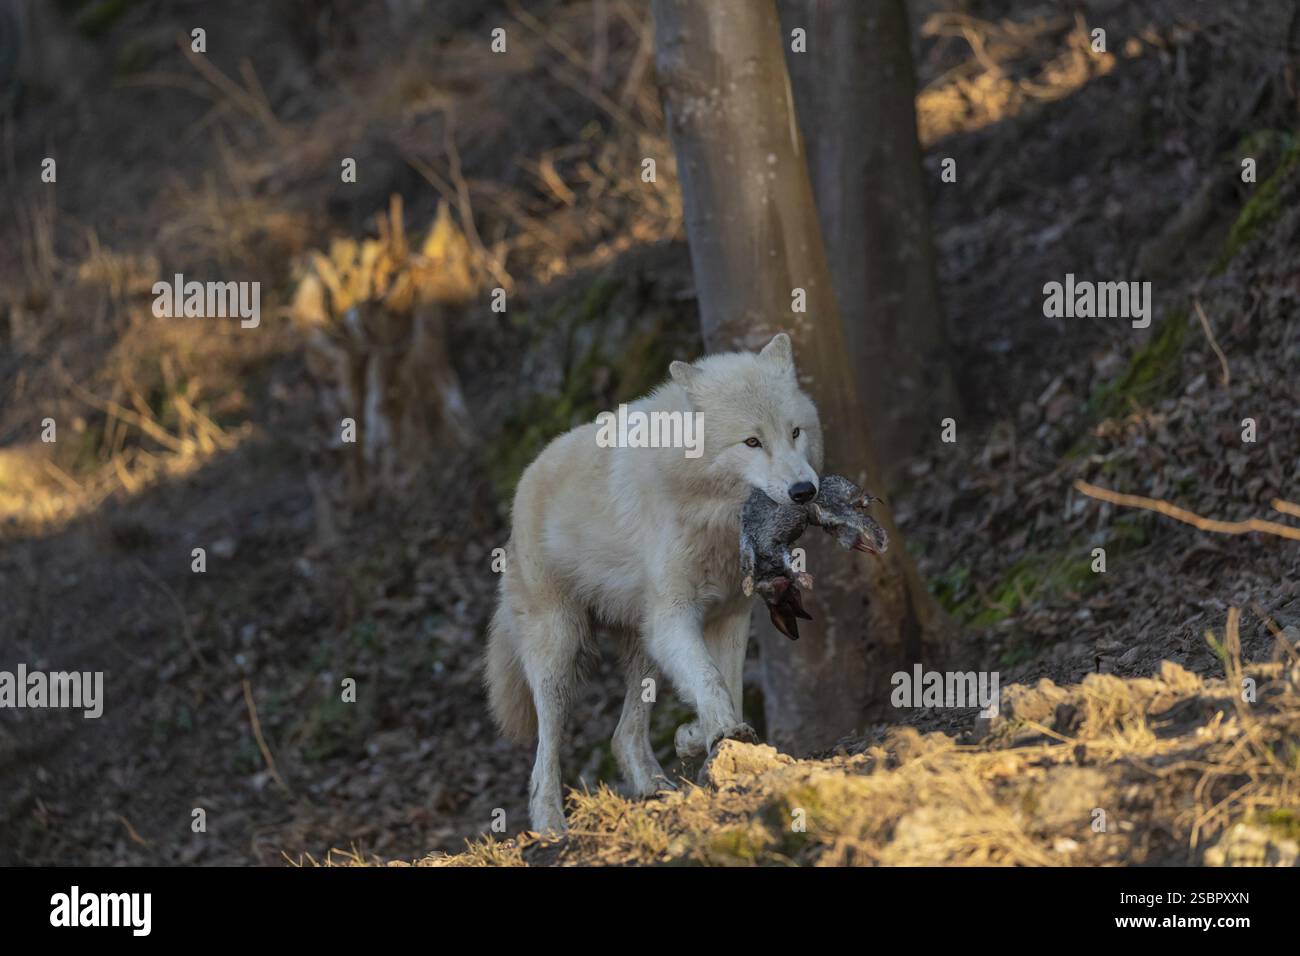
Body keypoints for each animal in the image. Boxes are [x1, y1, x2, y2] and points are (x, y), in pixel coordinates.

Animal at [485, 333, 823, 832]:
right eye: (752, 441)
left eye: (795, 432)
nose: (804, 491)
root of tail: (524, 480)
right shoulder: (673, 617)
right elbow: (711, 681)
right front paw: (722, 732)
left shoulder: (729, 618)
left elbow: (725, 685)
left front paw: (701, 737)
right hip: (561, 656)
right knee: (545, 755)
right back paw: (549, 825)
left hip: (642, 648)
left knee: (622, 736)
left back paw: (655, 787)